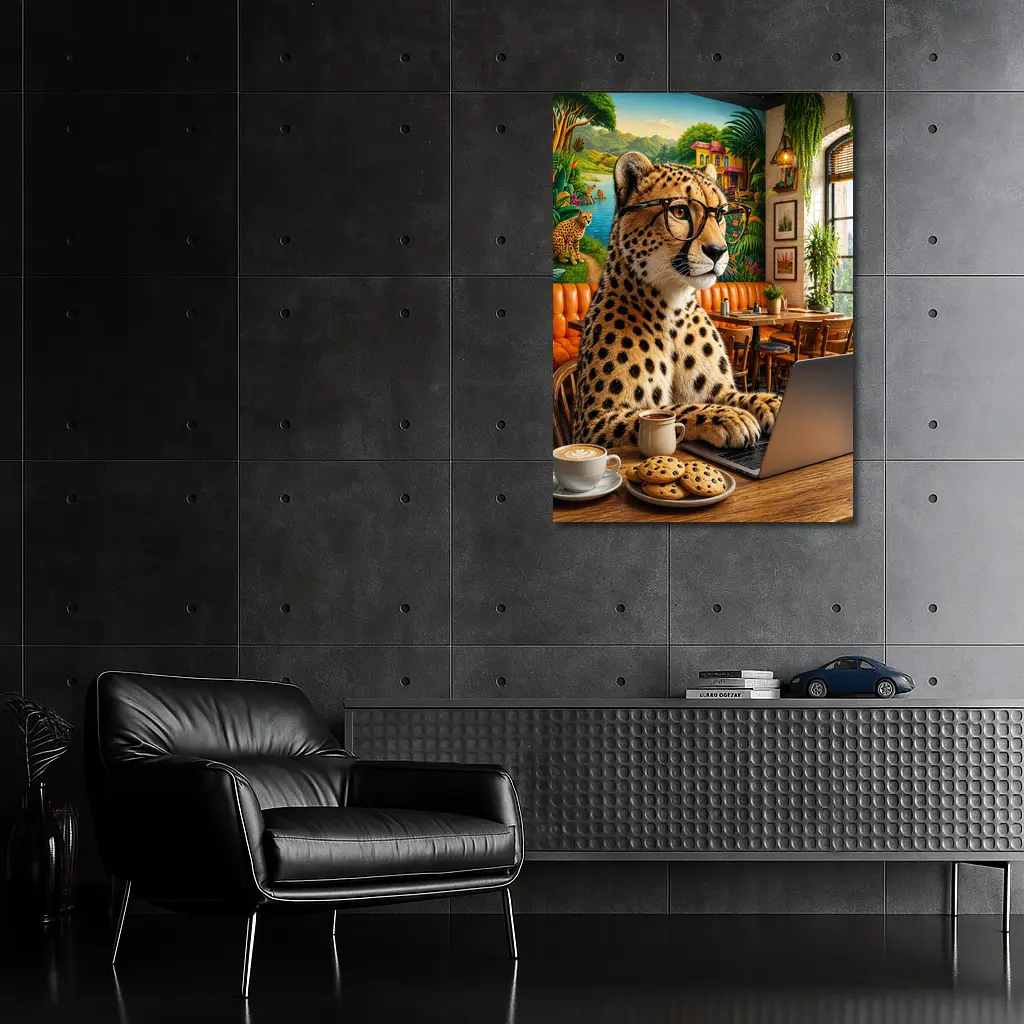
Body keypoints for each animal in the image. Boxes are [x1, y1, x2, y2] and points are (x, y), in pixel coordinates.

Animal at [570, 152, 780, 450]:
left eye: (721, 215)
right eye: (679, 211)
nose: (718, 251)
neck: (672, 307)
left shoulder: (721, 390)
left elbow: (735, 395)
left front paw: (770, 402)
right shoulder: (593, 422)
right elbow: (671, 409)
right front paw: (728, 416)